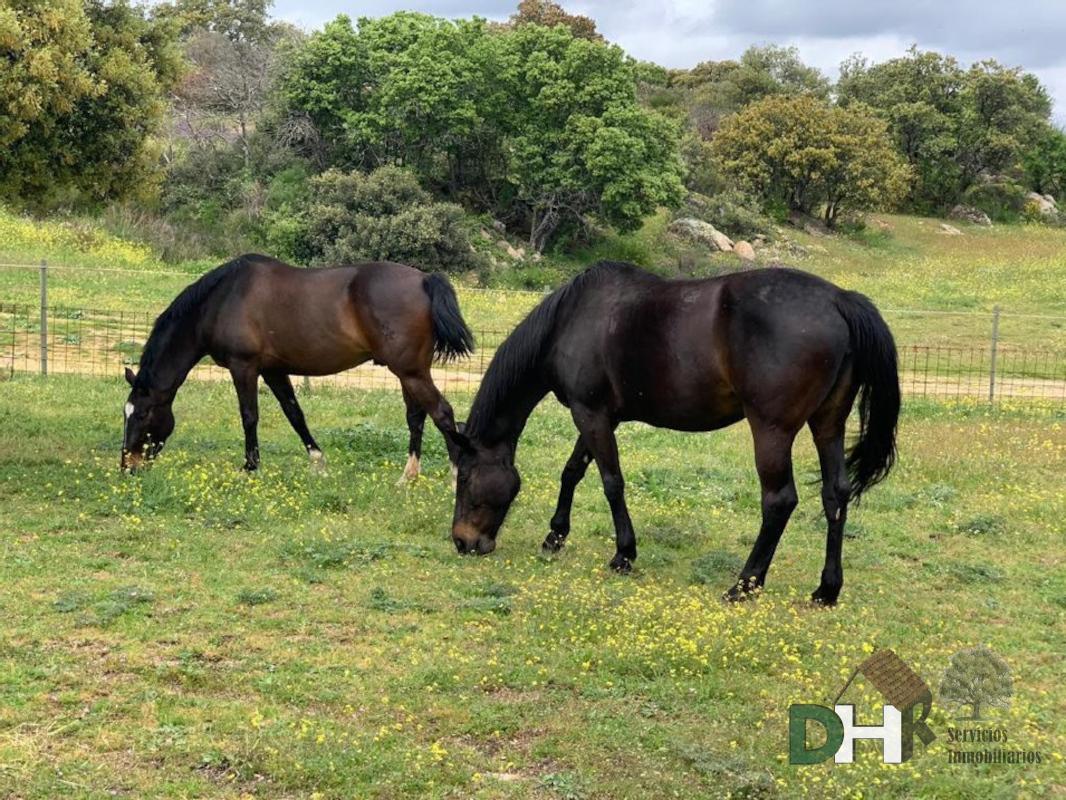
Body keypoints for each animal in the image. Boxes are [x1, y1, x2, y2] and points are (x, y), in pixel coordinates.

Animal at [120, 254, 475, 475]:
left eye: (142, 414)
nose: (127, 467)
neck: (222, 300)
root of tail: (425, 280)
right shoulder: (274, 370)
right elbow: (295, 413)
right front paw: (317, 461)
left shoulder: (244, 367)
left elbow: (249, 416)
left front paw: (250, 466)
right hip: (408, 373)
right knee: (417, 417)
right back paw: (407, 477)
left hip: (411, 372)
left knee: (443, 413)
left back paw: (456, 474)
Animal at [445, 263, 895, 605]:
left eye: (464, 477)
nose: (462, 542)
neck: (569, 321)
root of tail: (838, 299)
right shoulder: (597, 415)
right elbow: (573, 471)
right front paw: (555, 535)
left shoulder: (590, 414)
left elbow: (611, 482)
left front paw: (624, 554)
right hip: (828, 424)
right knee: (835, 495)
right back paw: (827, 589)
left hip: (771, 430)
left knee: (779, 500)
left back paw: (744, 584)